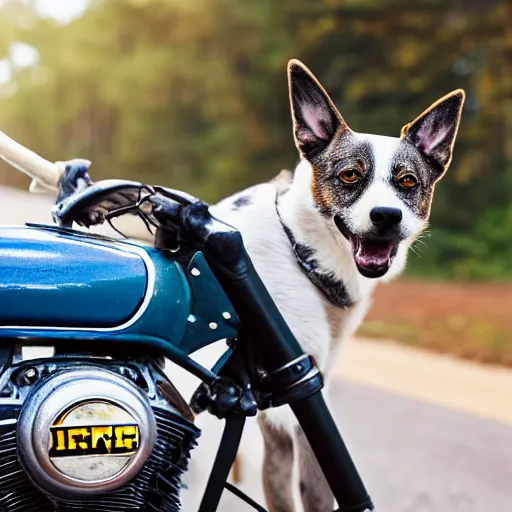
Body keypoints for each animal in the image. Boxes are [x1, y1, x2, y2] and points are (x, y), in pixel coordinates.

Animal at [210, 60, 466, 512]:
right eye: (350, 175)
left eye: (408, 182)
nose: (386, 216)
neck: (300, 252)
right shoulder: (293, 397)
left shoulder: (304, 400)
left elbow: (315, 488)